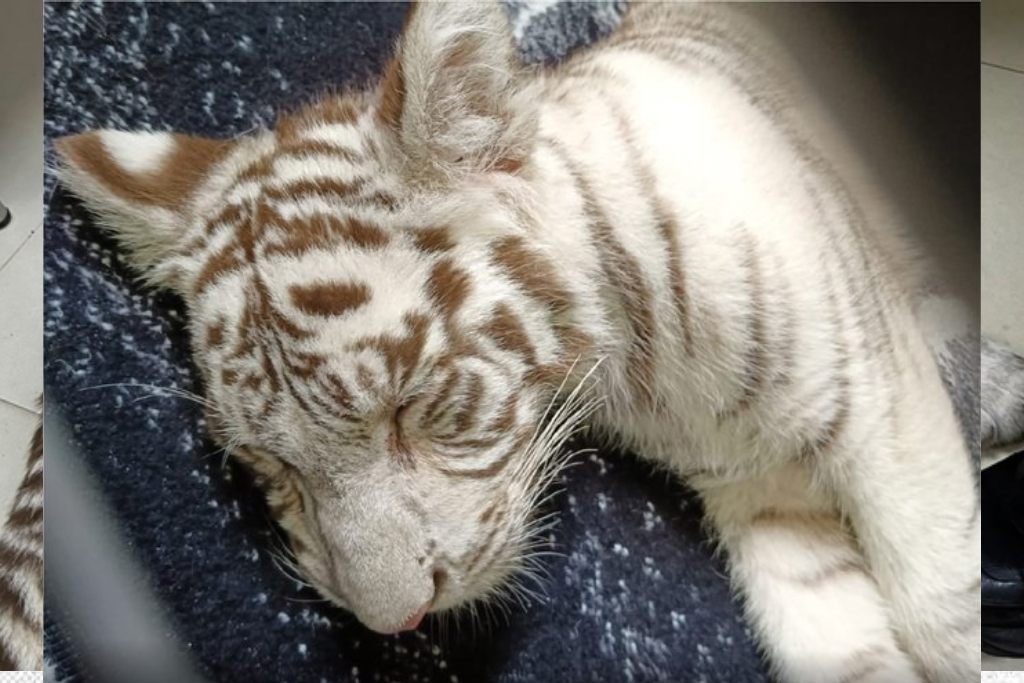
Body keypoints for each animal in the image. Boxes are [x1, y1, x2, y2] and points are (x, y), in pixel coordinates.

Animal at [53, 2, 978, 681]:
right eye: (268, 463)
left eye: (408, 406)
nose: (399, 618)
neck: (643, 373)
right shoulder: (764, 493)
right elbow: (847, 649)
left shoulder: (890, 416)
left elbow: (943, 608)